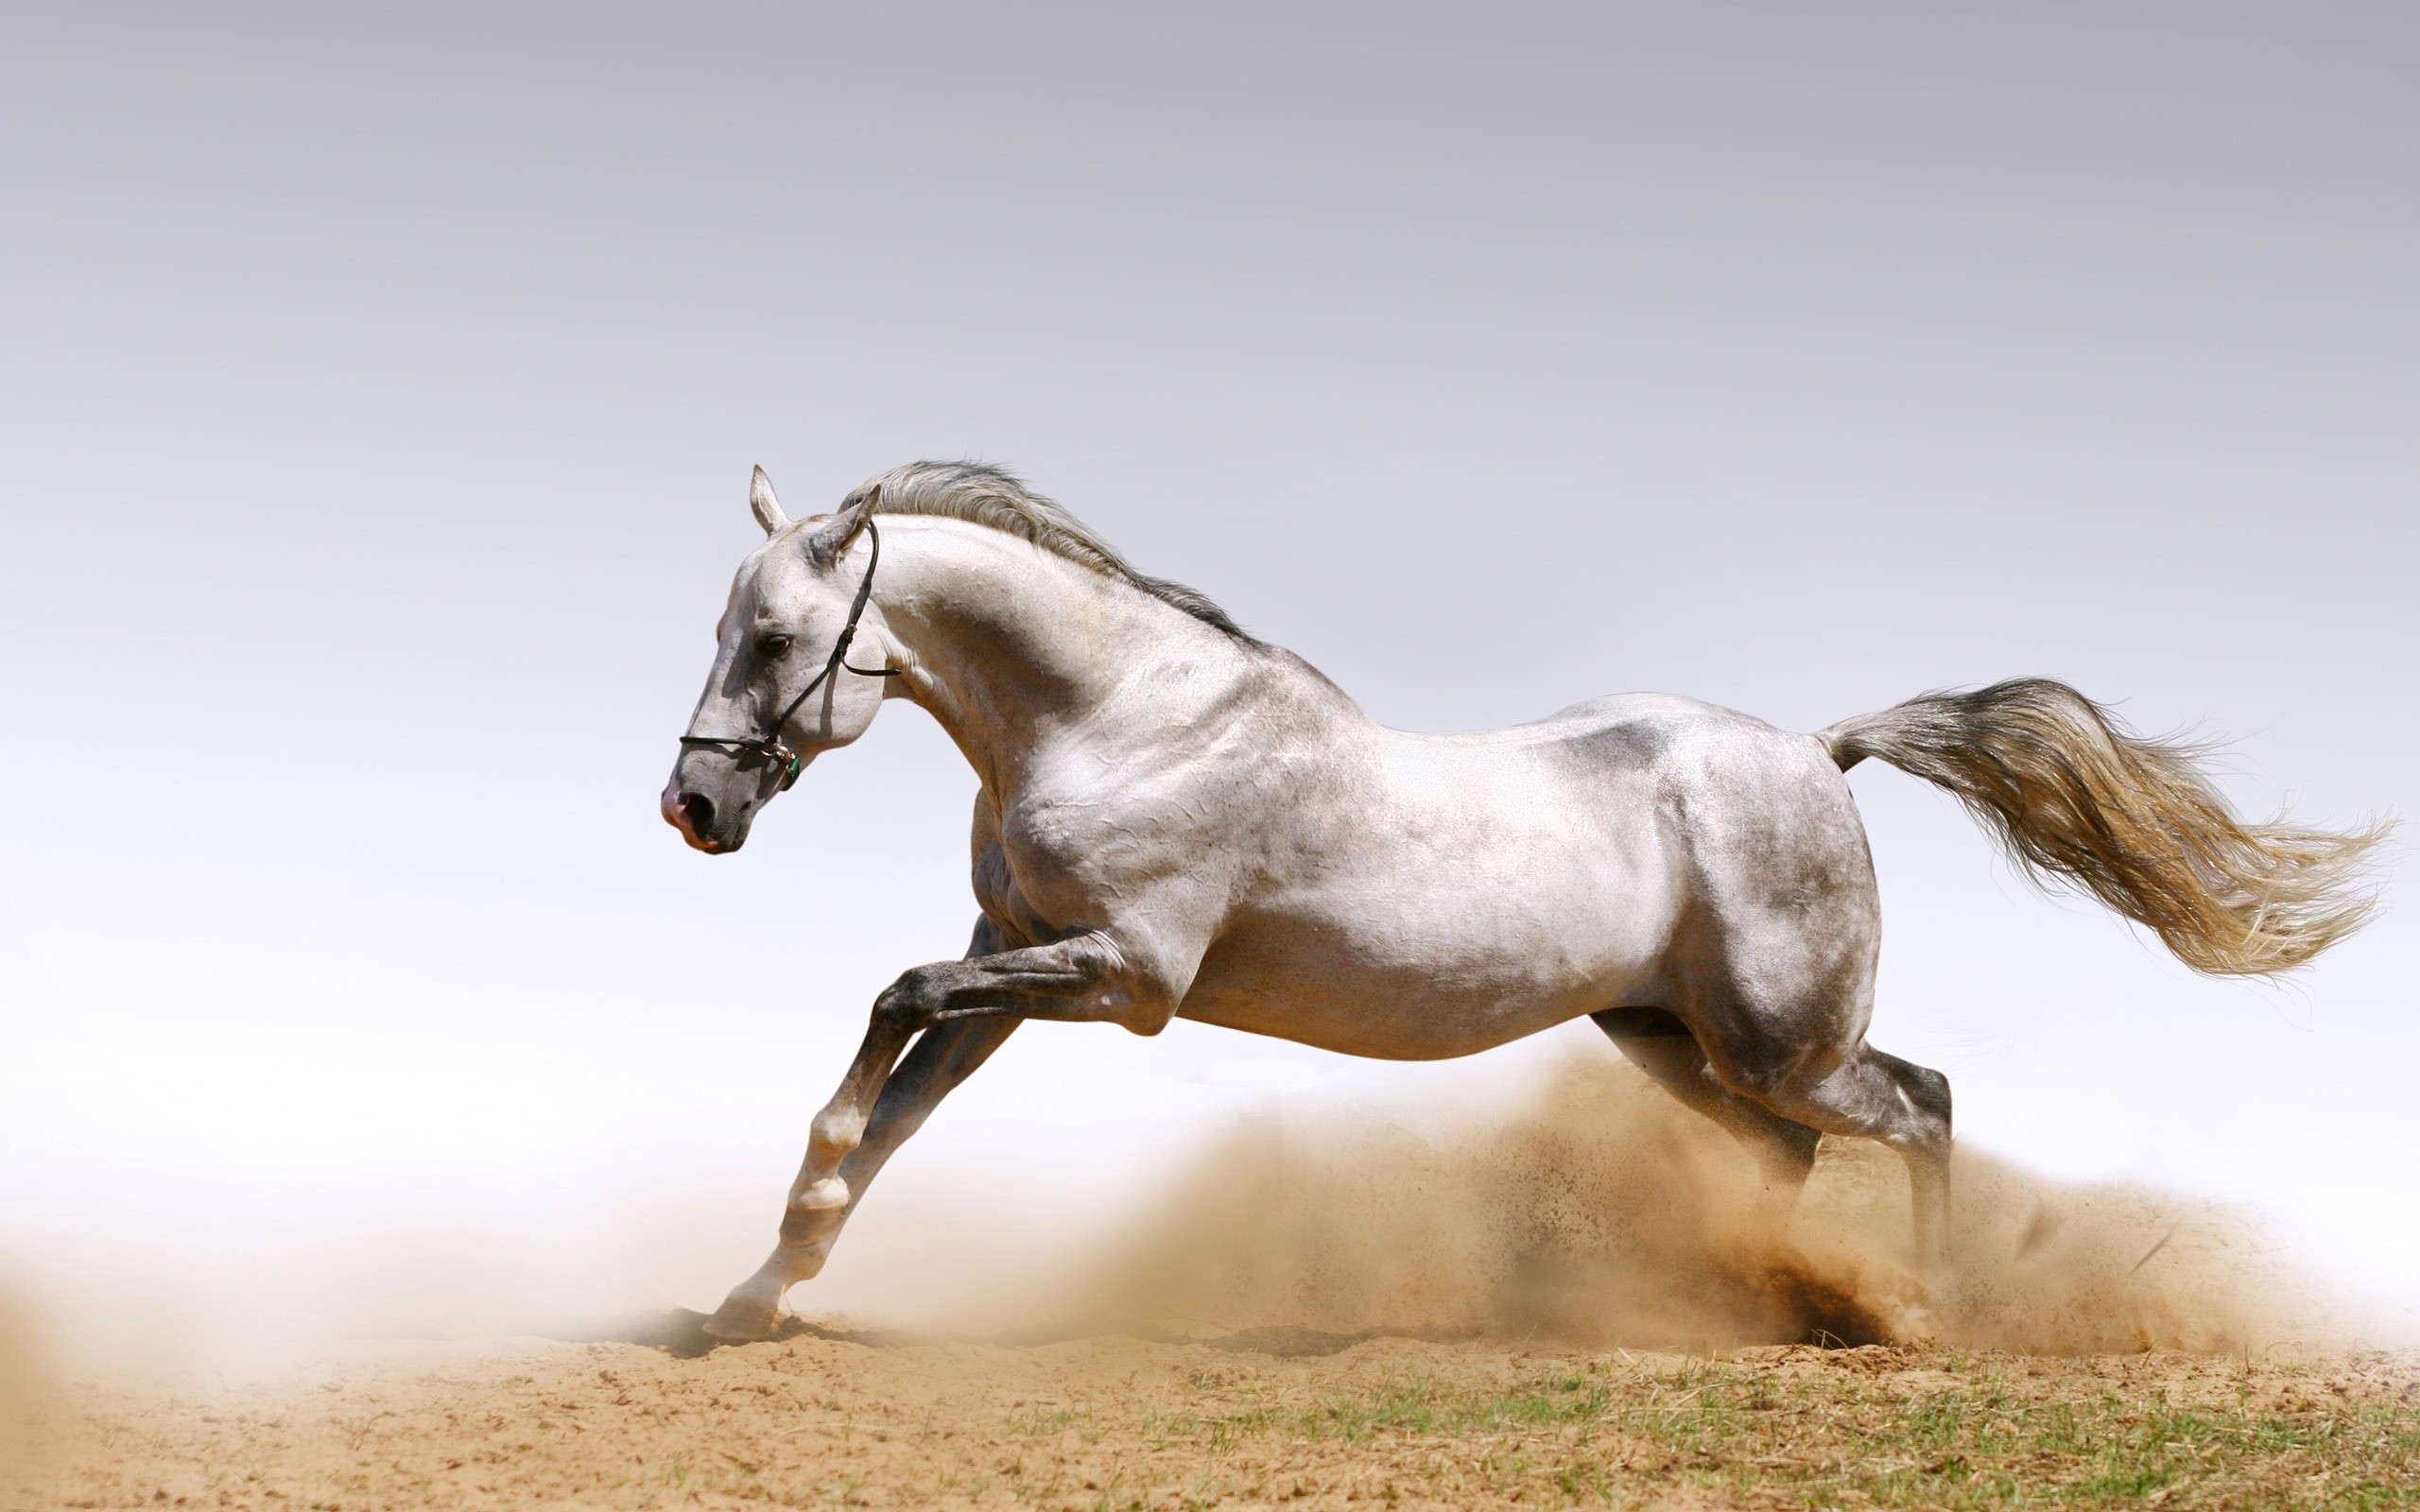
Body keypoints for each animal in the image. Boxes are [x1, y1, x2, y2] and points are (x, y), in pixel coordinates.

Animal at [663, 460, 2382, 1343]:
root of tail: (1820, 752)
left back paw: (1924, 1311)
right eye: (727, 626)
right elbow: (896, 1107)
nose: (694, 808)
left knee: (1924, 1105)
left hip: (1783, 1040)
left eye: (776, 638)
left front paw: (773, 1254)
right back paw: (1750, 1301)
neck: (1121, 716)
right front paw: (755, 1293)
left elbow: (887, 1012)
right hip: (1667, 1038)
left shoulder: (1123, 977)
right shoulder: (1018, 953)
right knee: (1797, 1153)